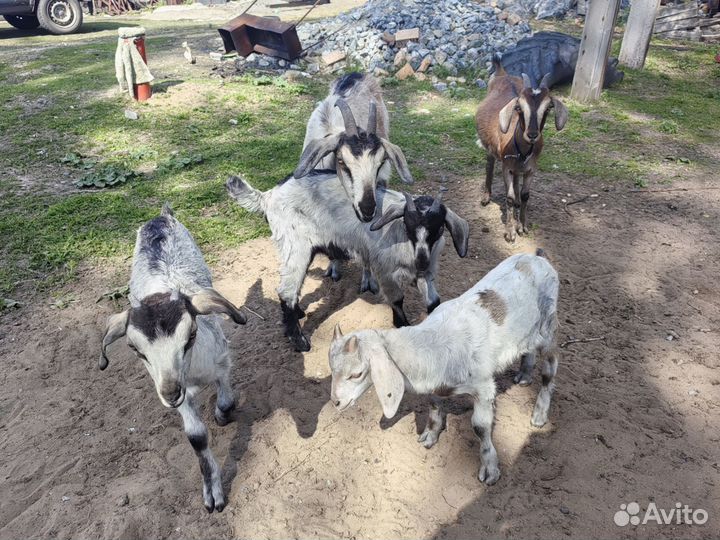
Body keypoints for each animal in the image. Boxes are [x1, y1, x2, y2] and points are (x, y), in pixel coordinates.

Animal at [99, 204, 247, 513]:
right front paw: (212, 495)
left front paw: (222, 416)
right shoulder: (182, 393)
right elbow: (196, 437)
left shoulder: (221, 359)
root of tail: (161, 215)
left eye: (191, 334)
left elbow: (227, 399)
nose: (170, 393)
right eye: (135, 349)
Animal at [226, 173, 469, 352]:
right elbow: (397, 300)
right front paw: (402, 327)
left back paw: (298, 314)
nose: (421, 261)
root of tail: (268, 196)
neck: (404, 241)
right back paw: (300, 341)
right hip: (295, 245)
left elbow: (434, 302)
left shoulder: (425, 273)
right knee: (286, 290)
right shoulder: (385, 271)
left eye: (438, 228)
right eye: (408, 225)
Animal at [329, 250, 559, 485]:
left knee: (550, 368)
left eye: (357, 374)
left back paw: (539, 415)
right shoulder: (434, 384)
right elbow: (433, 408)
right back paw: (524, 375)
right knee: (528, 349)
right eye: (332, 370)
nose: (335, 402)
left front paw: (489, 469)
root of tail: (537, 257)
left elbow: (480, 426)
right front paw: (429, 437)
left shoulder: (484, 387)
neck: (431, 347)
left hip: (548, 325)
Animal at [476, 57, 568, 242]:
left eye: (548, 108)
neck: (522, 150)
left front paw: (523, 226)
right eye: (518, 107)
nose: (532, 134)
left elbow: (526, 195)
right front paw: (510, 231)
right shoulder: (506, 167)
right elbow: (509, 198)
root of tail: (502, 72)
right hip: (490, 149)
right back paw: (486, 197)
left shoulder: (531, 169)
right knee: (489, 165)